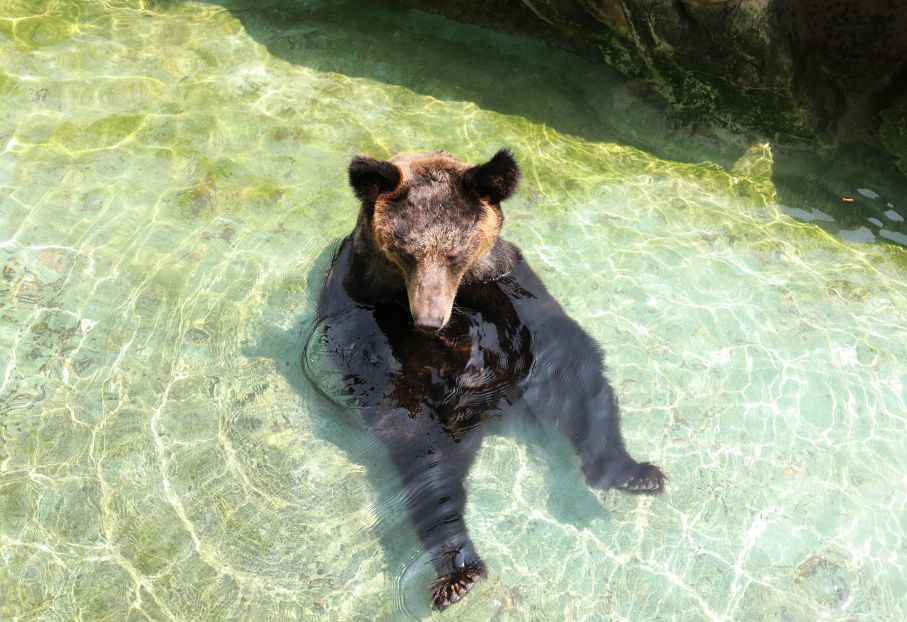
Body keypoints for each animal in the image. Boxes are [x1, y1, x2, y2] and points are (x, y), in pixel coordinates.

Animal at [312, 150, 668, 616]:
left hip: (543, 378)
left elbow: (551, 336)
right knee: (427, 468)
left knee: (586, 390)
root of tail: (491, 415)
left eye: (454, 255)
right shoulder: (363, 306)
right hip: (428, 420)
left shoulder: (509, 286)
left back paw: (628, 472)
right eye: (407, 253)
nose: (429, 320)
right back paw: (457, 572)